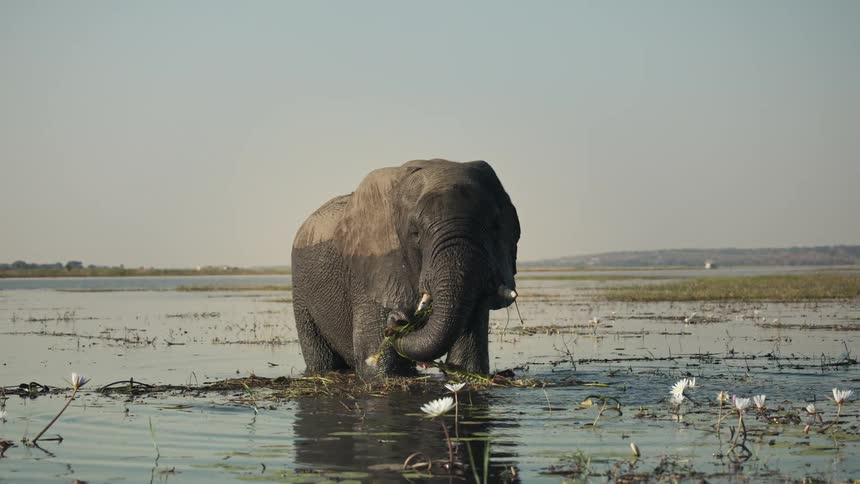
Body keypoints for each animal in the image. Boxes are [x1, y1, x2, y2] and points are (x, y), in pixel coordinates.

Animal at [291, 159, 520, 376]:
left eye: (495, 227)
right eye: (415, 234)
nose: (399, 319)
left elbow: (466, 362)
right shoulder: (373, 268)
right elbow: (380, 369)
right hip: (301, 292)